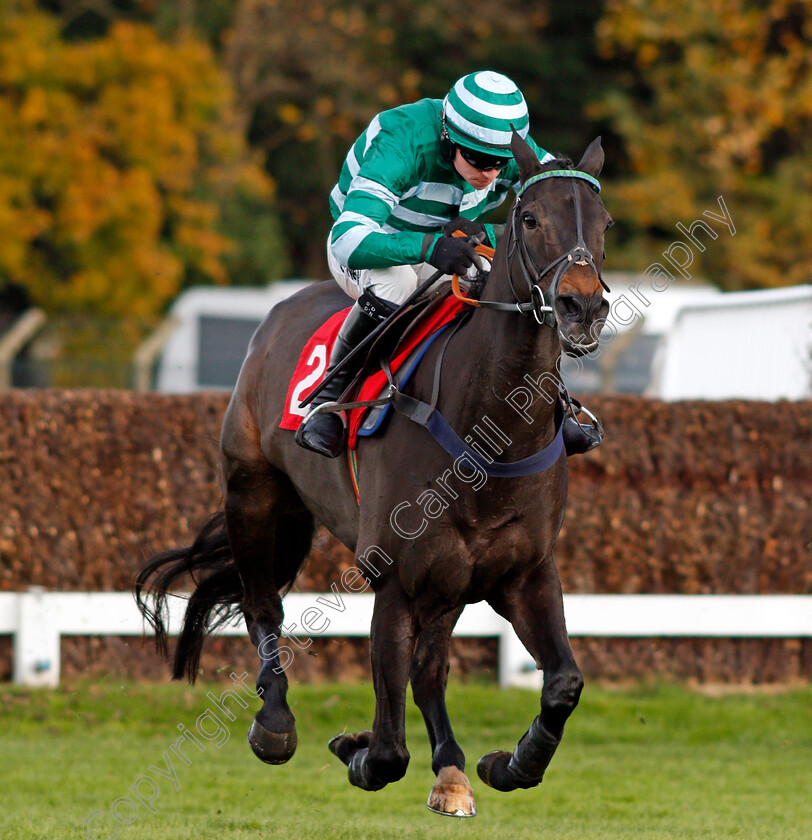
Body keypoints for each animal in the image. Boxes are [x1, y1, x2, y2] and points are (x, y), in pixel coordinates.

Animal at [136, 133, 612, 820]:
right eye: (529, 218)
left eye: (604, 224)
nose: (583, 306)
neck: (488, 432)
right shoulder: (396, 582)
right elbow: (388, 748)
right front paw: (356, 748)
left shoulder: (523, 574)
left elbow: (563, 682)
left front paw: (509, 763)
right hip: (254, 495)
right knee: (262, 605)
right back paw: (275, 723)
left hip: (445, 583)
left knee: (430, 667)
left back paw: (452, 767)